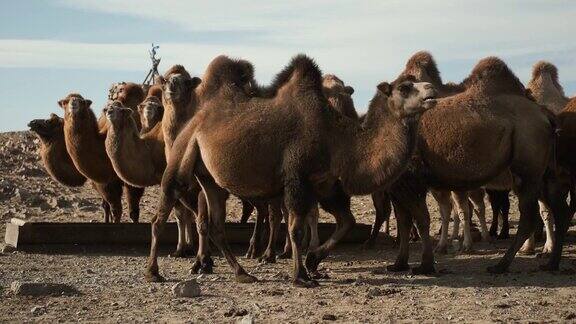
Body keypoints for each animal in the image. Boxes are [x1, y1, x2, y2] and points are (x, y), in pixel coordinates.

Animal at [146, 54, 438, 288]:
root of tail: (195, 118)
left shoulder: (325, 185)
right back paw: (153, 272)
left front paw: (312, 261)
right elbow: (296, 228)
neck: (336, 137)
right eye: (404, 87)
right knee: (161, 215)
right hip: (182, 156)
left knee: (216, 223)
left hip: (210, 177)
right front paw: (301, 276)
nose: (431, 90)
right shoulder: (297, 178)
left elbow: (346, 221)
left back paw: (242, 273)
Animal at [382, 52, 572, 274]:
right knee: (559, 212)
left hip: (528, 170)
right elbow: (404, 221)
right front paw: (399, 264)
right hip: (545, 175)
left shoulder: (411, 180)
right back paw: (550, 262)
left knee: (530, 217)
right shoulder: (399, 186)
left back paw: (502, 264)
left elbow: (419, 220)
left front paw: (425, 265)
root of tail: (546, 116)